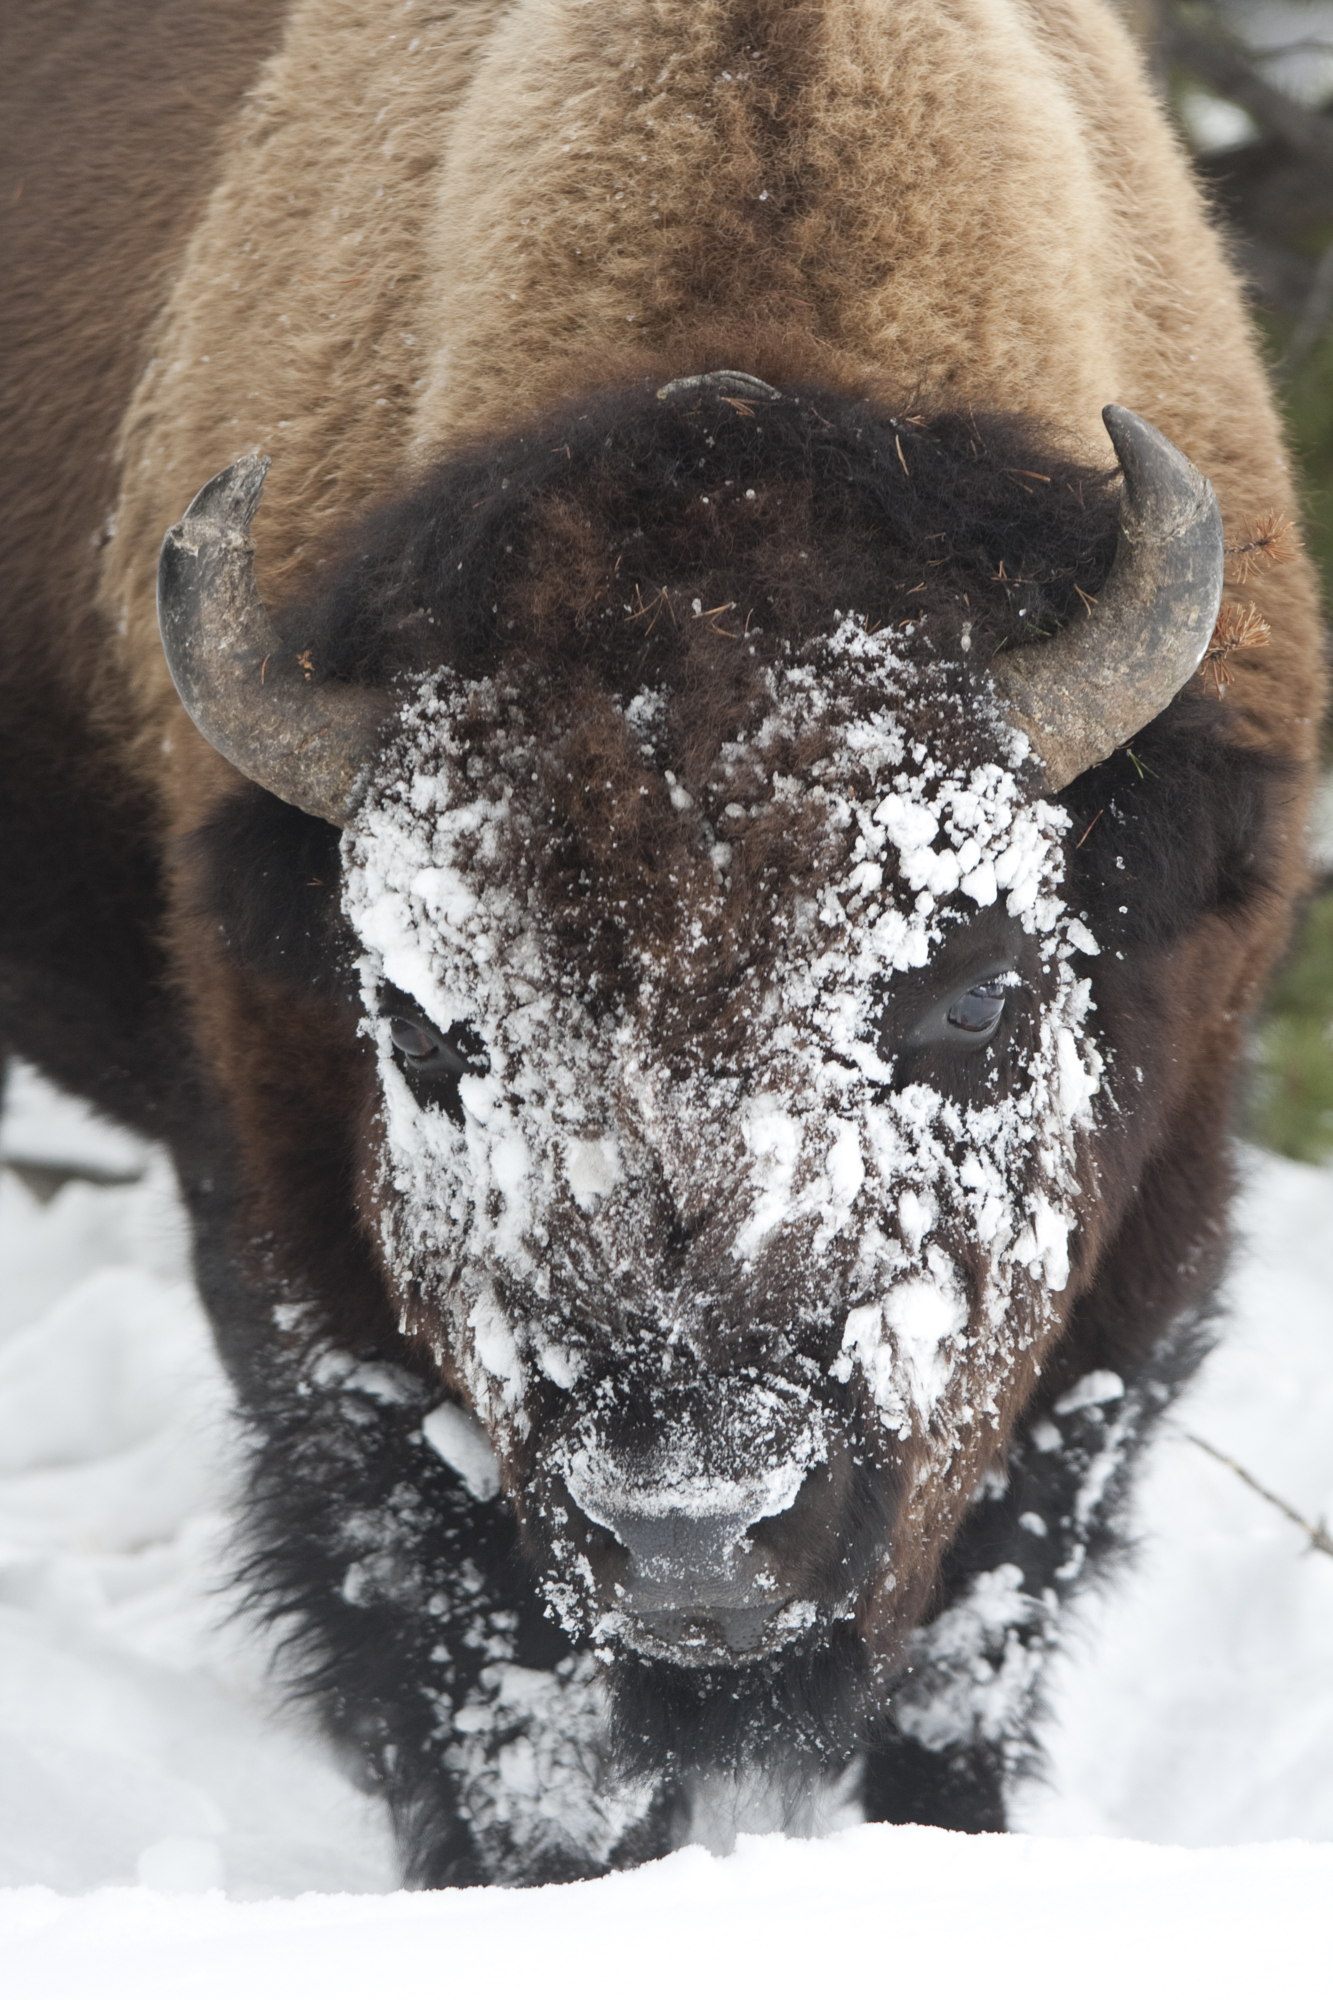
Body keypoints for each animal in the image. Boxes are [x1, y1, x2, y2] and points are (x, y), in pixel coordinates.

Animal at [1, 0, 1325, 1885]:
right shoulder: (293, 1244)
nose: (693, 1528)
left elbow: (967, 1657)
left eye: (974, 995)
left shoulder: (1143, 1249)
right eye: (420, 1026)